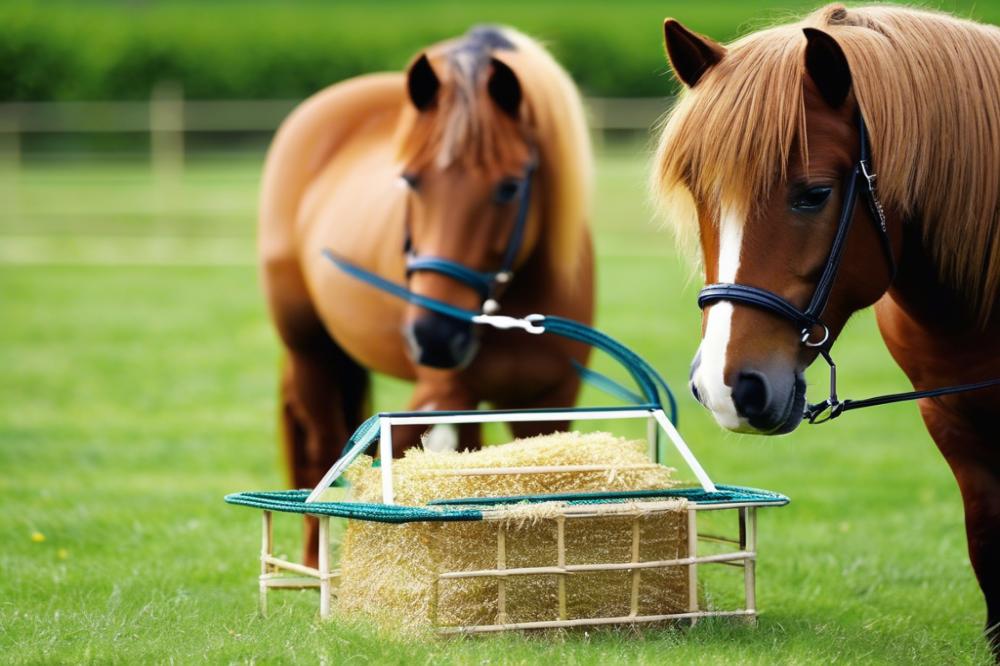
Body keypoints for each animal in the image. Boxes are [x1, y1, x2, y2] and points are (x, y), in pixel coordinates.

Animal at [262, 26, 596, 560]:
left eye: (509, 187)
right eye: (409, 180)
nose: (435, 338)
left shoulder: (551, 403)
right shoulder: (437, 392)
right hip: (311, 351)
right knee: (322, 449)